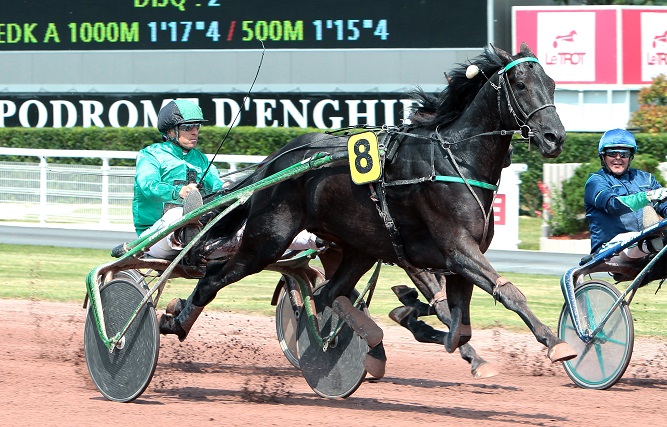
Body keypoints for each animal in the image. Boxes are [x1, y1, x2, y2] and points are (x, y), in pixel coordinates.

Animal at [160, 41, 576, 372]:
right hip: (267, 239)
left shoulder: (455, 259)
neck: (455, 160)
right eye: (520, 84)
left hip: (358, 247)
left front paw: (435, 330)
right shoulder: (456, 250)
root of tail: (279, 159)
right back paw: (173, 320)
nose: (554, 137)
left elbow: (458, 322)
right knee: (214, 280)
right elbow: (505, 294)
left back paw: (365, 343)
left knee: (326, 295)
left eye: (552, 84)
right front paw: (557, 343)